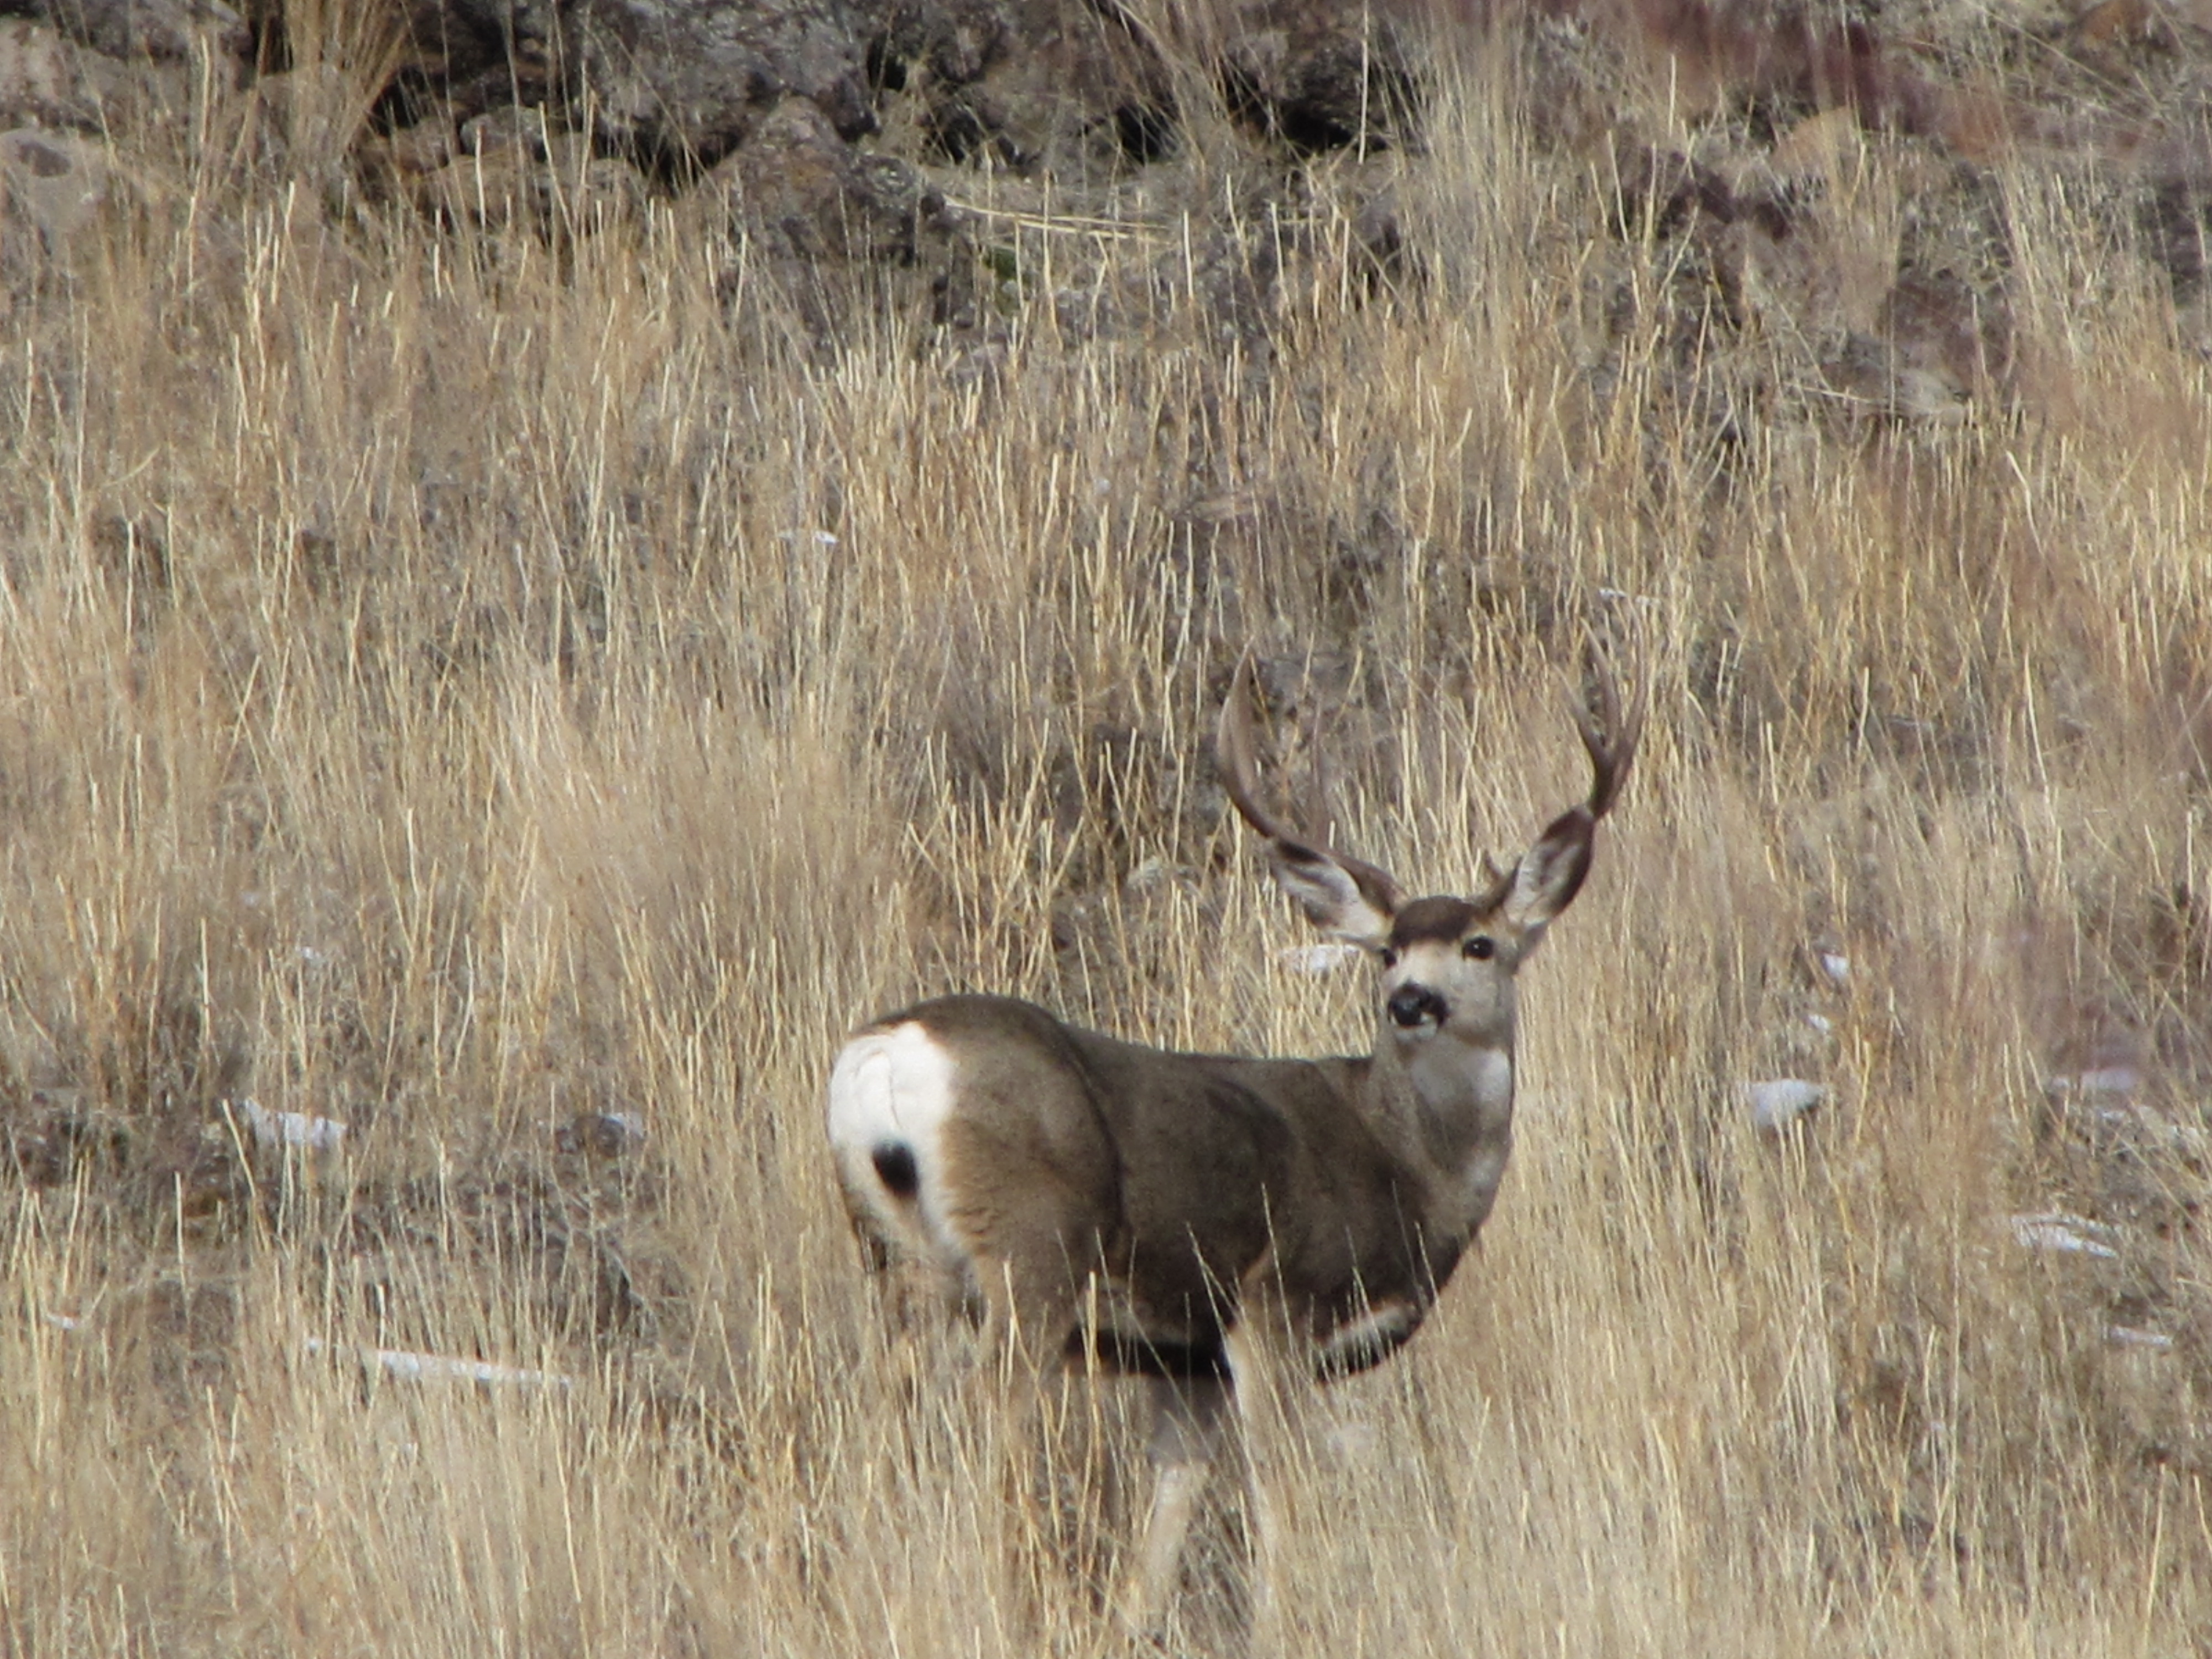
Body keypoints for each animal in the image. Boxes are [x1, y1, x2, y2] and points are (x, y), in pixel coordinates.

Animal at [825, 652, 1642, 1636]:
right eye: (1389, 951)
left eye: (1480, 945)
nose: (1412, 1000)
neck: (1409, 1169)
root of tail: (885, 1053)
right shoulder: (1274, 1303)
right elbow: (1280, 1489)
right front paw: (1284, 1621)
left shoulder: (1187, 1359)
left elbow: (1174, 1498)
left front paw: (1136, 1623)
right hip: (1030, 1250)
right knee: (990, 1421)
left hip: (894, 1260)